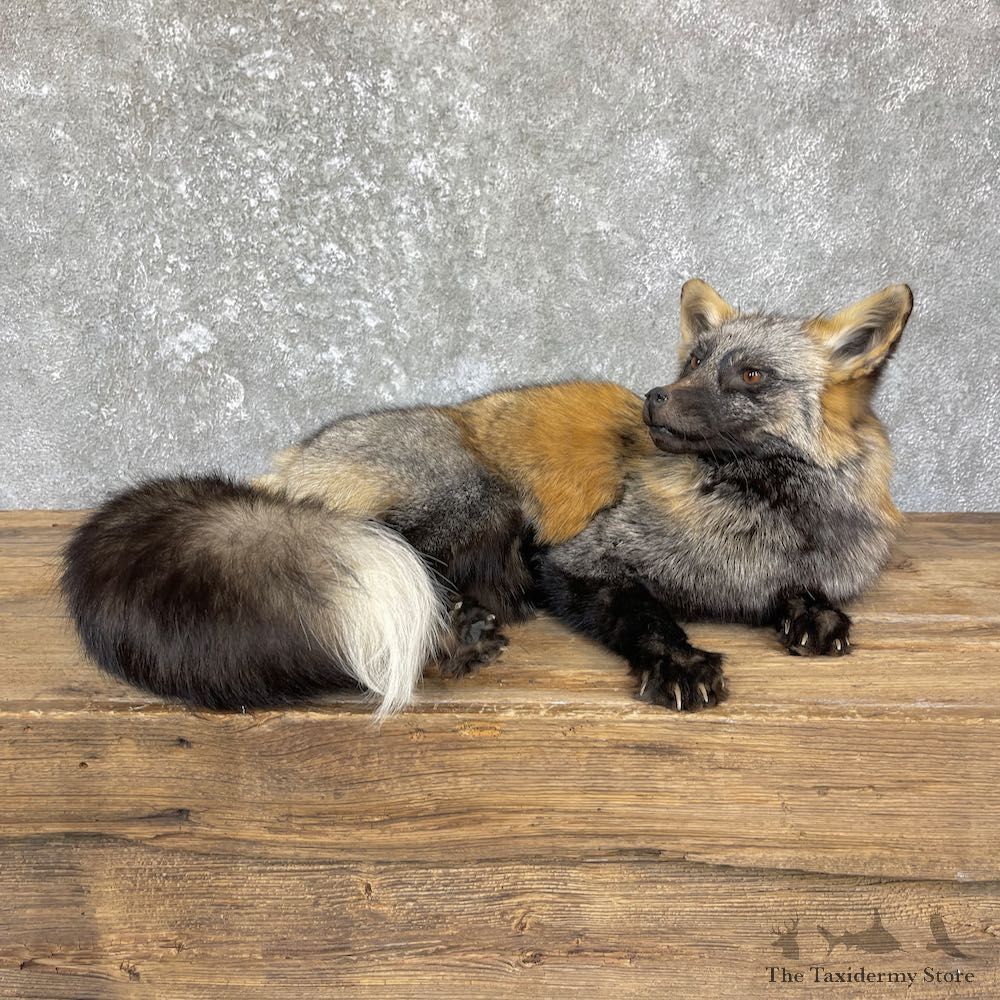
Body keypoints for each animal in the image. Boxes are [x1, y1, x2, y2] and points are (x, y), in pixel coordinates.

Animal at [61, 279, 913, 717]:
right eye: (693, 362)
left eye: (750, 375)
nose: (652, 400)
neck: (755, 529)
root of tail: (285, 464)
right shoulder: (571, 559)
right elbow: (646, 615)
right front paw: (679, 661)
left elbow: (804, 597)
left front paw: (811, 616)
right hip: (473, 504)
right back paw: (454, 638)